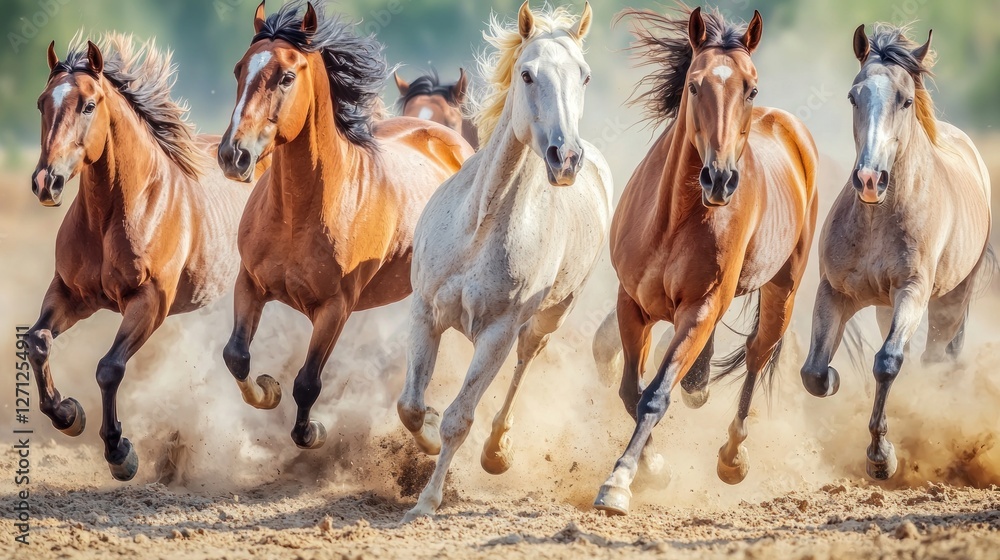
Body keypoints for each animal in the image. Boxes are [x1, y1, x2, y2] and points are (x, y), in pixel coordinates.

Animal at [26, 33, 257, 481]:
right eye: (43, 102)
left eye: (88, 105)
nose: (47, 182)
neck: (117, 212)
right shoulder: (70, 294)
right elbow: (37, 342)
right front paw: (67, 414)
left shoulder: (149, 302)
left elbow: (109, 368)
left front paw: (120, 453)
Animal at [215, 1, 472, 450]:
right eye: (238, 70)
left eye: (285, 77)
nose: (234, 155)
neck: (297, 214)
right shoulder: (250, 282)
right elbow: (237, 356)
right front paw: (267, 390)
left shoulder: (336, 308)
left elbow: (307, 383)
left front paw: (313, 432)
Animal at [397, 1, 611, 522]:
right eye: (527, 74)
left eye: (585, 75)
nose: (565, 158)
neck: (479, 227)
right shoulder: (424, 313)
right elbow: (410, 404)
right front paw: (425, 435)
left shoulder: (496, 334)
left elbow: (459, 419)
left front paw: (426, 502)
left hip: (548, 319)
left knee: (523, 364)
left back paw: (497, 451)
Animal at [593, 7, 818, 516]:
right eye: (695, 85)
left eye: (751, 88)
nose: (720, 179)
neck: (673, 218)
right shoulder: (631, 303)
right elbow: (630, 390)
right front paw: (652, 469)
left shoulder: (698, 308)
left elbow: (654, 396)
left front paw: (620, 480)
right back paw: (697, 385)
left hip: (783, 290)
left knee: (757, 355)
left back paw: (732, 458)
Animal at [799, 24, 992, 480]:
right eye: (854, 96)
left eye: (905, 100)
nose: (870, 179)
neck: (877, 219)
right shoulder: (835, 292)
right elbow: (814, 372)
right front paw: (833, 379)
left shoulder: (913, 292)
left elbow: (887, 361)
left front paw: (882, 457)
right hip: (886, 307)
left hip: (949, 301)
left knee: (935, 357)